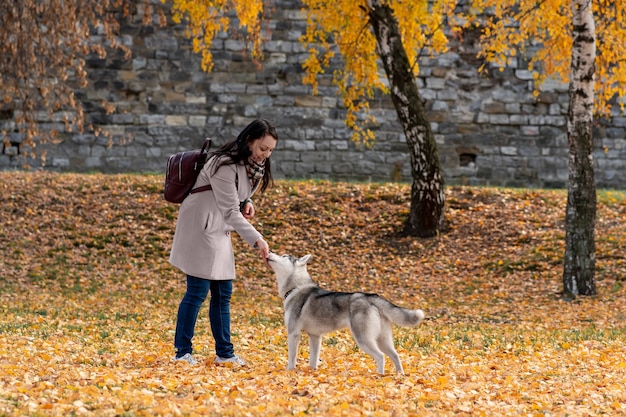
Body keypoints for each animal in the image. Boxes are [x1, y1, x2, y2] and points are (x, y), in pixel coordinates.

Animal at [266, 252, 422, 376]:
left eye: (284, 256)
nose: (269, 253)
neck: (296, 287)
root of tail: (370, 296)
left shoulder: (293, 333)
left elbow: (291, 358)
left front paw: (290, 371)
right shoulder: (315, 336)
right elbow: (313, 359)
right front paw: (313, 372)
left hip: (363, 339)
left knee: (380, 356)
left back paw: (379, 376)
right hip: (382, 339)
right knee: (395, 355)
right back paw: (400, 375)